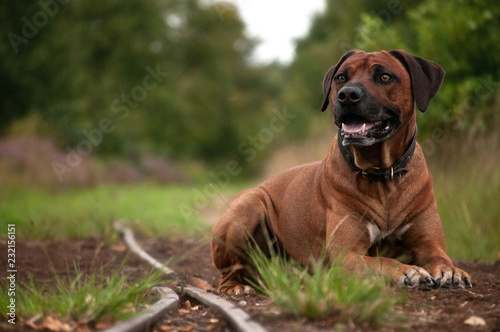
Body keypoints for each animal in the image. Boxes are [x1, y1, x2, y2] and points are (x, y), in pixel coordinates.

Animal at [211, 48, 472, 294]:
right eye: (341, 77)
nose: (347, 94)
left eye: (385, 77)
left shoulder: (428, 243)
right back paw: (236, 287)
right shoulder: (345, 255)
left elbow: (439, 256)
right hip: (248, 206)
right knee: (227, 274)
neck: (382, 174)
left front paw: (451, 271)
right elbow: (381, 261)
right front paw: (408, 272)